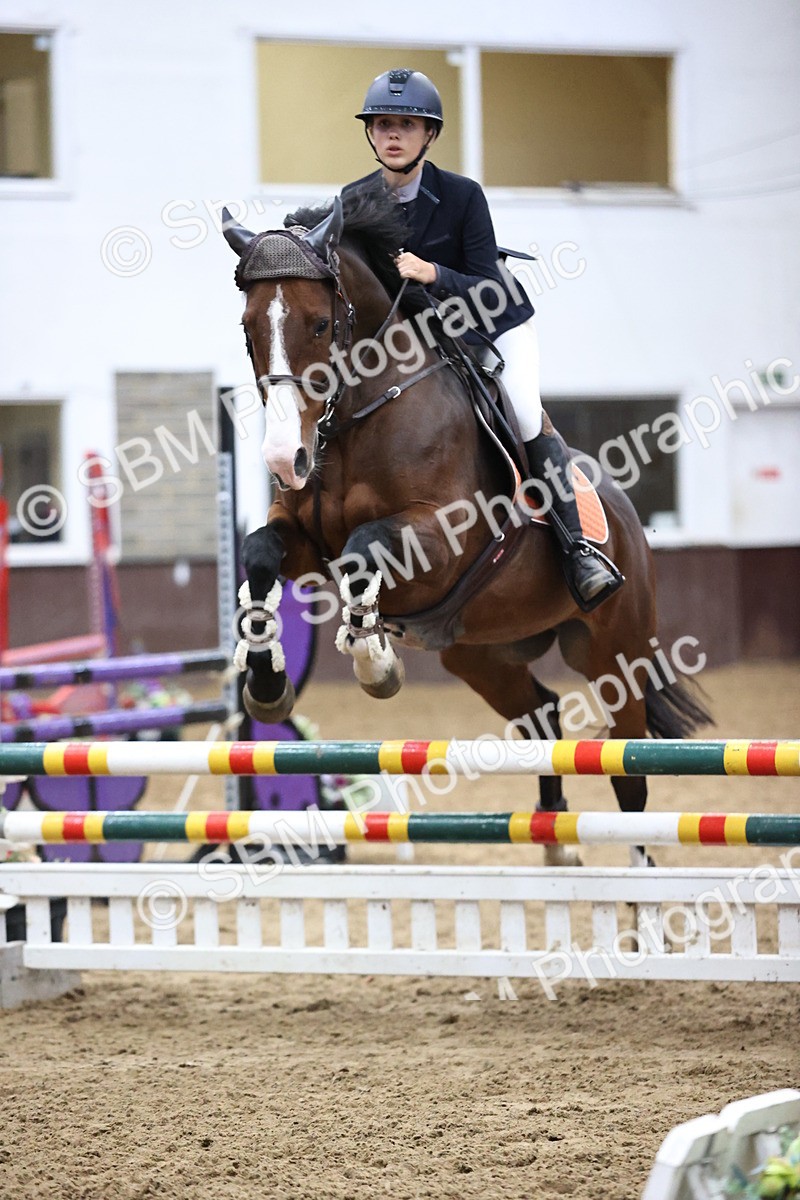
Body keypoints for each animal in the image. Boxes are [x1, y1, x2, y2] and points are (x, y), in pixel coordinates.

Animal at [221, 185, 710, 866]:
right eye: (247, 329)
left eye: (319, 323)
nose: (282, 460)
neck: (357, 416)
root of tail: (627, 515)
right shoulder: (304, 539)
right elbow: (262, 554)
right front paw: (267, 686)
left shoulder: (439, 540)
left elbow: (362, 551)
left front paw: (375, 664)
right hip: (482, 655)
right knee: (541, 714)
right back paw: (556, 842)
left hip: (618, 651)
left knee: (629, 773)